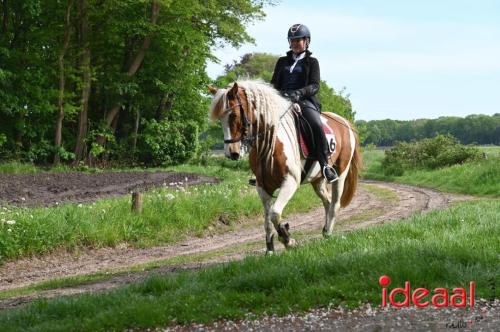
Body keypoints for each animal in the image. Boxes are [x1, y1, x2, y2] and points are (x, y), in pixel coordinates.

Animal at [209, 80, 362, 254]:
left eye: (234, 115)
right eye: (220, 118)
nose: (231, 153)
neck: (270, 141)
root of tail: (345, 123)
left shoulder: (290, 182)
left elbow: (275, 214)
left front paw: (288, 239)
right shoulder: (262, 187)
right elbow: (267, 220)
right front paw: (270, 249)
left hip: (341, 174)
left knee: (335, 203)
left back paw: (328, 232)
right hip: (317, 181)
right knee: (327, 201)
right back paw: (324, 230)